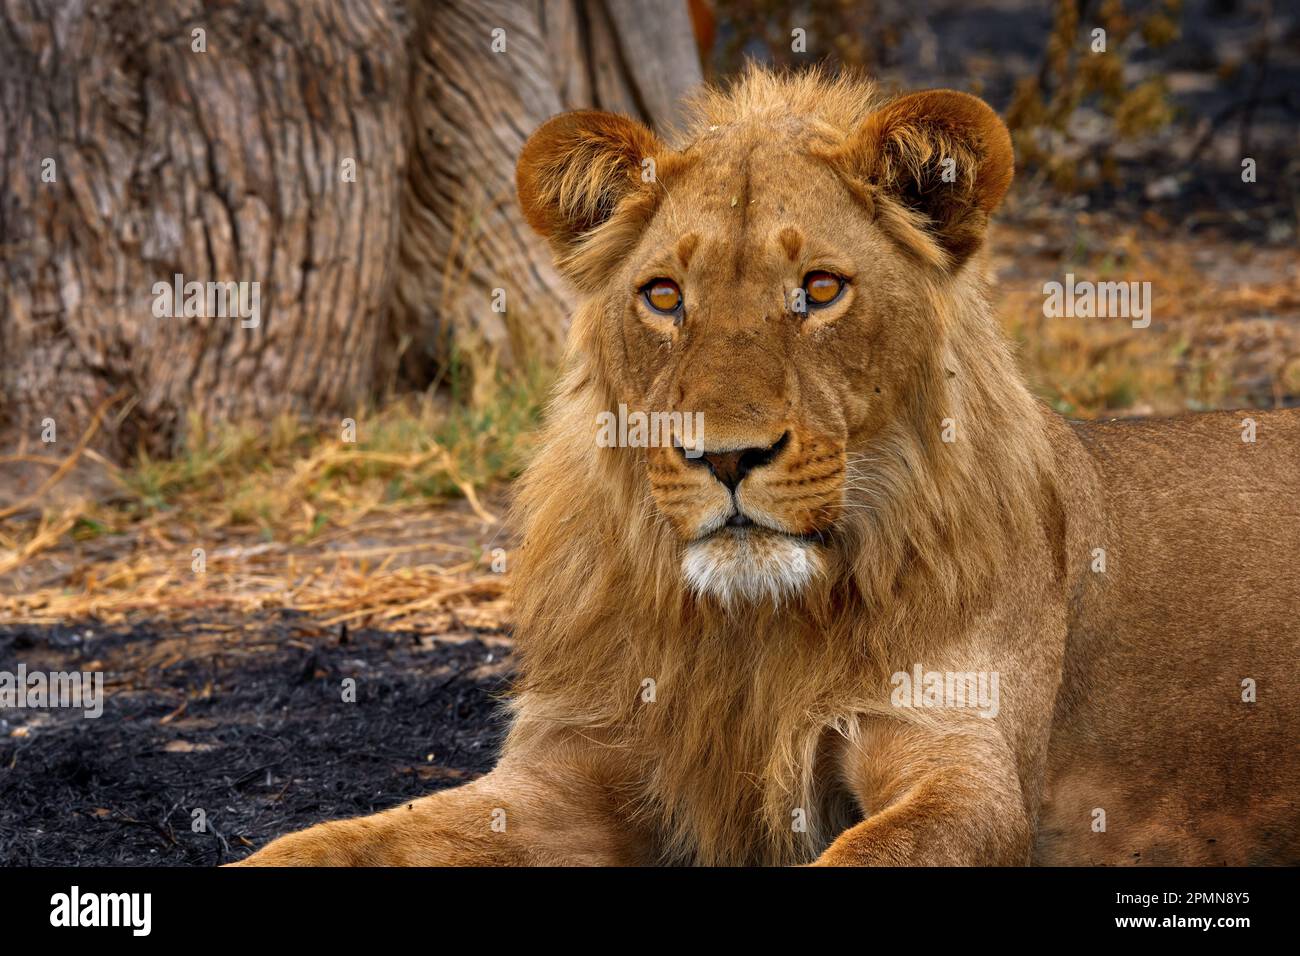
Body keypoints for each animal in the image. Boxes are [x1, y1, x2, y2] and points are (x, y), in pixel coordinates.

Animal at [239, 66, 1299, 866]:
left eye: (820, 290)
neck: (749, 634)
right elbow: (326, 844)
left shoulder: (963, 769)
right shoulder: (562, 768)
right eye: (665, 296)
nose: (727, 455)